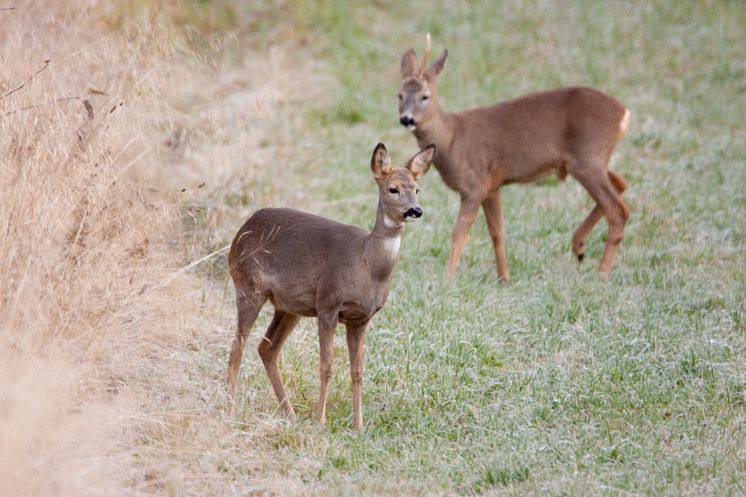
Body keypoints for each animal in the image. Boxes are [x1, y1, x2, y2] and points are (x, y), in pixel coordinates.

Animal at [230, 142, 434, 430]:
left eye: (417, 189)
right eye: (393, 188)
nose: (415, 210)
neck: (367, 264)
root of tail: (240, 232)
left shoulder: (361, 318)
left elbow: (357, 371)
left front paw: (359, 426)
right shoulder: (328, 305)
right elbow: (326, 367)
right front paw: (321, 421)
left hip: (289, 307)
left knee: (266, 348)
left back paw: (291, 415)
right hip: (248, 287)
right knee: (237, 348)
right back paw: (230, 411)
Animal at [396, 35, 628, 280]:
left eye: (425, 96)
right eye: (400, 95)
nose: (407, 119)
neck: (452, 139)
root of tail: (624, 114)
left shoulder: (474, 185)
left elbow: (459, 233)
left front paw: (448, 277)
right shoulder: (492, 187)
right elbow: (497, 233)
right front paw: (503, 278)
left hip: (588, 158)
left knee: (618, 210)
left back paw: (602, 272)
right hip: (588, 161)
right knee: (621, 184)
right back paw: (579, 248)